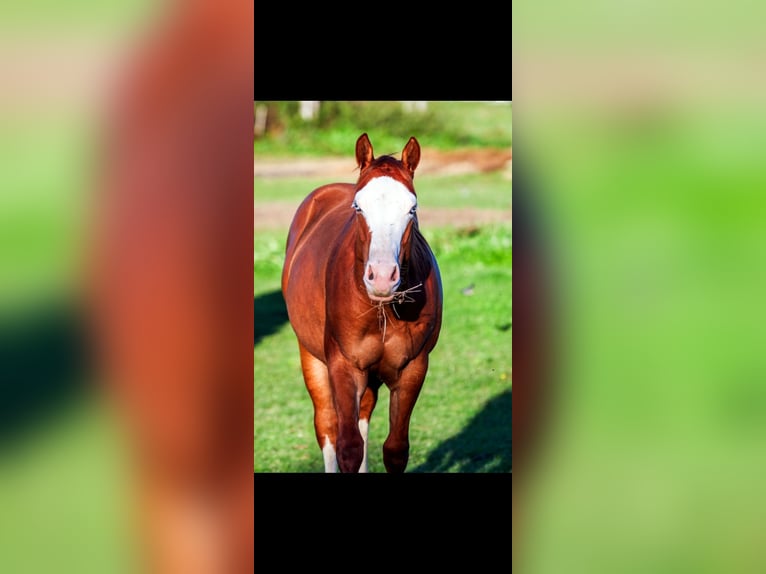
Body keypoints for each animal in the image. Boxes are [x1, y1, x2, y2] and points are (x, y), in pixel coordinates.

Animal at [281, 133, 443, 473]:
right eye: (358, 207)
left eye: (412, 208)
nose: (381, 277)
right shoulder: (344, 366)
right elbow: (348, 447)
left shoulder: (413, 369)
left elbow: (395, 449)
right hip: (311, 357)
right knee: (327, 425)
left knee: (363, 418)